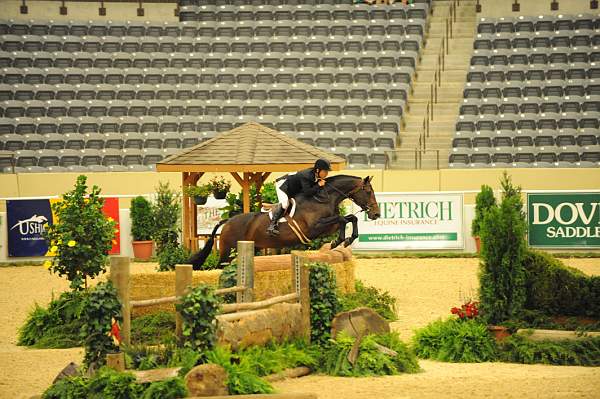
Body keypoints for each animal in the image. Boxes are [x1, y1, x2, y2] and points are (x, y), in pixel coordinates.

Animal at [190, 174, 382, 270]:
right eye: (368, 191)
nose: (376, 214)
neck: (322, 198)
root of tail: (228, 220)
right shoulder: (314, 227)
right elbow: (343, 219)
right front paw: (339, 241)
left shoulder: (328, 226)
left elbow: (350, 218)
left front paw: (344, 240)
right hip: (228, 251)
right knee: (219, 267)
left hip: (250, 248)